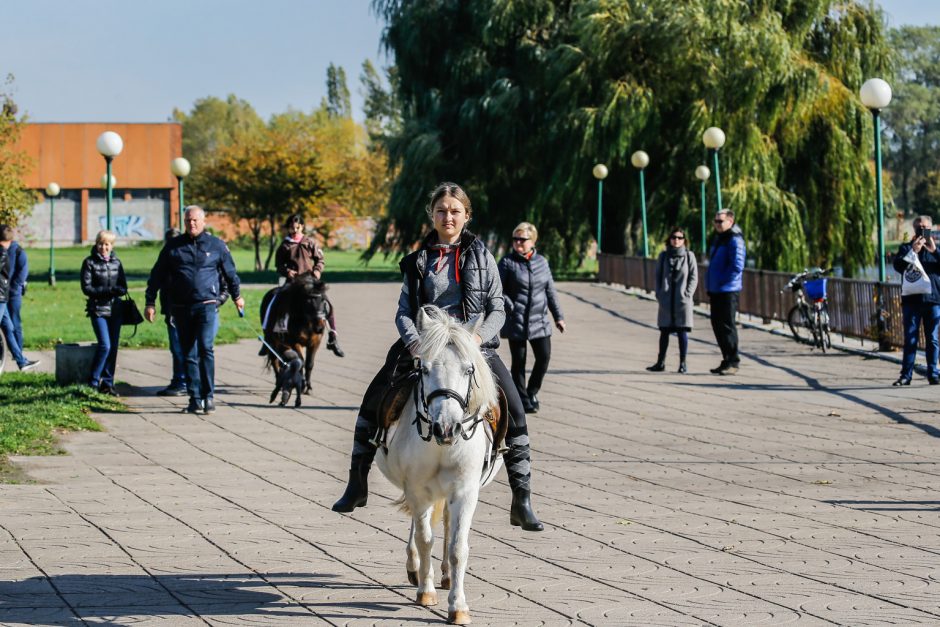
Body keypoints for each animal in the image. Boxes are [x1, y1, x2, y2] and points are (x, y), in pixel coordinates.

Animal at [376, 306, 506, 624]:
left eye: (469, 369)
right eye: (423, 368)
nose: (447, 428)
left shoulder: (465, 491)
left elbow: (458, 547)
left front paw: (458, 607)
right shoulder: (417, 489)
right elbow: (425, 539)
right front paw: (426, 591)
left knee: (446, 522)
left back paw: (446, 575)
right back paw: (417, 568)